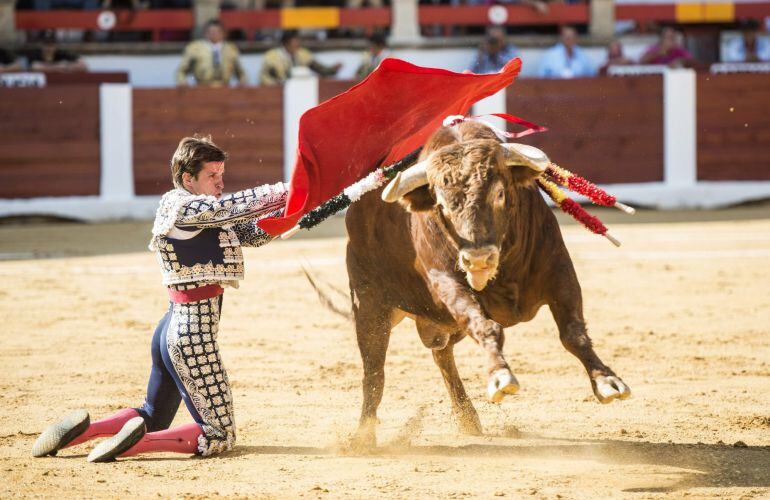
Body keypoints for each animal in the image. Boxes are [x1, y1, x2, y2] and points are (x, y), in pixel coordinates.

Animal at [342, 120, 632, 446]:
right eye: (441, 205)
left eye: (500, 194)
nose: (478, 259)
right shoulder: (447, 281)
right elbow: (485, 325)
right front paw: (500, 376)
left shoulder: (559, 268)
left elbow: (573, 333)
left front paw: (608, 381)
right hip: (370, 304)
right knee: (374, 370)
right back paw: (363, 436)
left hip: (441, 323)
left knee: (441, 355)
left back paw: (467, 417)